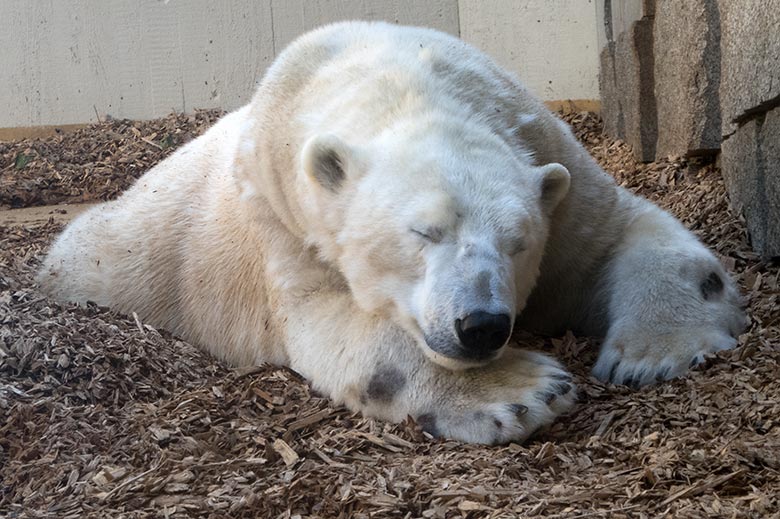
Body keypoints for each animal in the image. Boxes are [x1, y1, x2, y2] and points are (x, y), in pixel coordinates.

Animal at [36, 19, 744, 442]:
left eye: (517, 242)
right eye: (422, 233)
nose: (481, 324)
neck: (398, 78)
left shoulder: (549, 154)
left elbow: (612, 240)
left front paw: (654, 353)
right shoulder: (286, 221)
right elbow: (337, 326)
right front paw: (525, 390)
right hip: (122, 257)